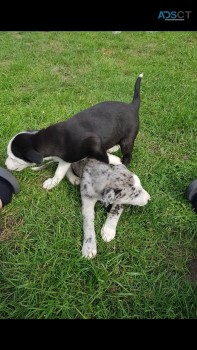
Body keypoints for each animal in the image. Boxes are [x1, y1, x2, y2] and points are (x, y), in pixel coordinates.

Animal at [5, 72, 143, 190]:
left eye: (13, 157)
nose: (5, 165)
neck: (48, 139)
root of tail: (131, 106)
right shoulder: (65, 159)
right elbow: (63, 171)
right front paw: (62, 180)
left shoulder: (91, 143)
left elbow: (103, 157)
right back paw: (112, 148)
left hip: (128, 139)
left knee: (127, 155)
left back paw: (122, 163)